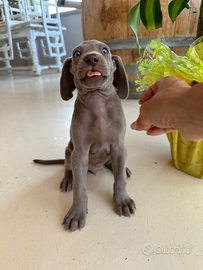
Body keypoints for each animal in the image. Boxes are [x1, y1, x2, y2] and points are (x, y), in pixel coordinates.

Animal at [33, 40, 135, 232]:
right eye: (77, 54)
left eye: (105, 50)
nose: (92, 58)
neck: (97, 102)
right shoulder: (79, 153)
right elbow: (80, 188)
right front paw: (77, 213)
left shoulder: (119, 146)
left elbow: (120, 180)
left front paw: (122, 200)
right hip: (68, 151)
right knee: (67, 167)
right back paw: (68, 179)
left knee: (114, 164)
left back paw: (120, 167)